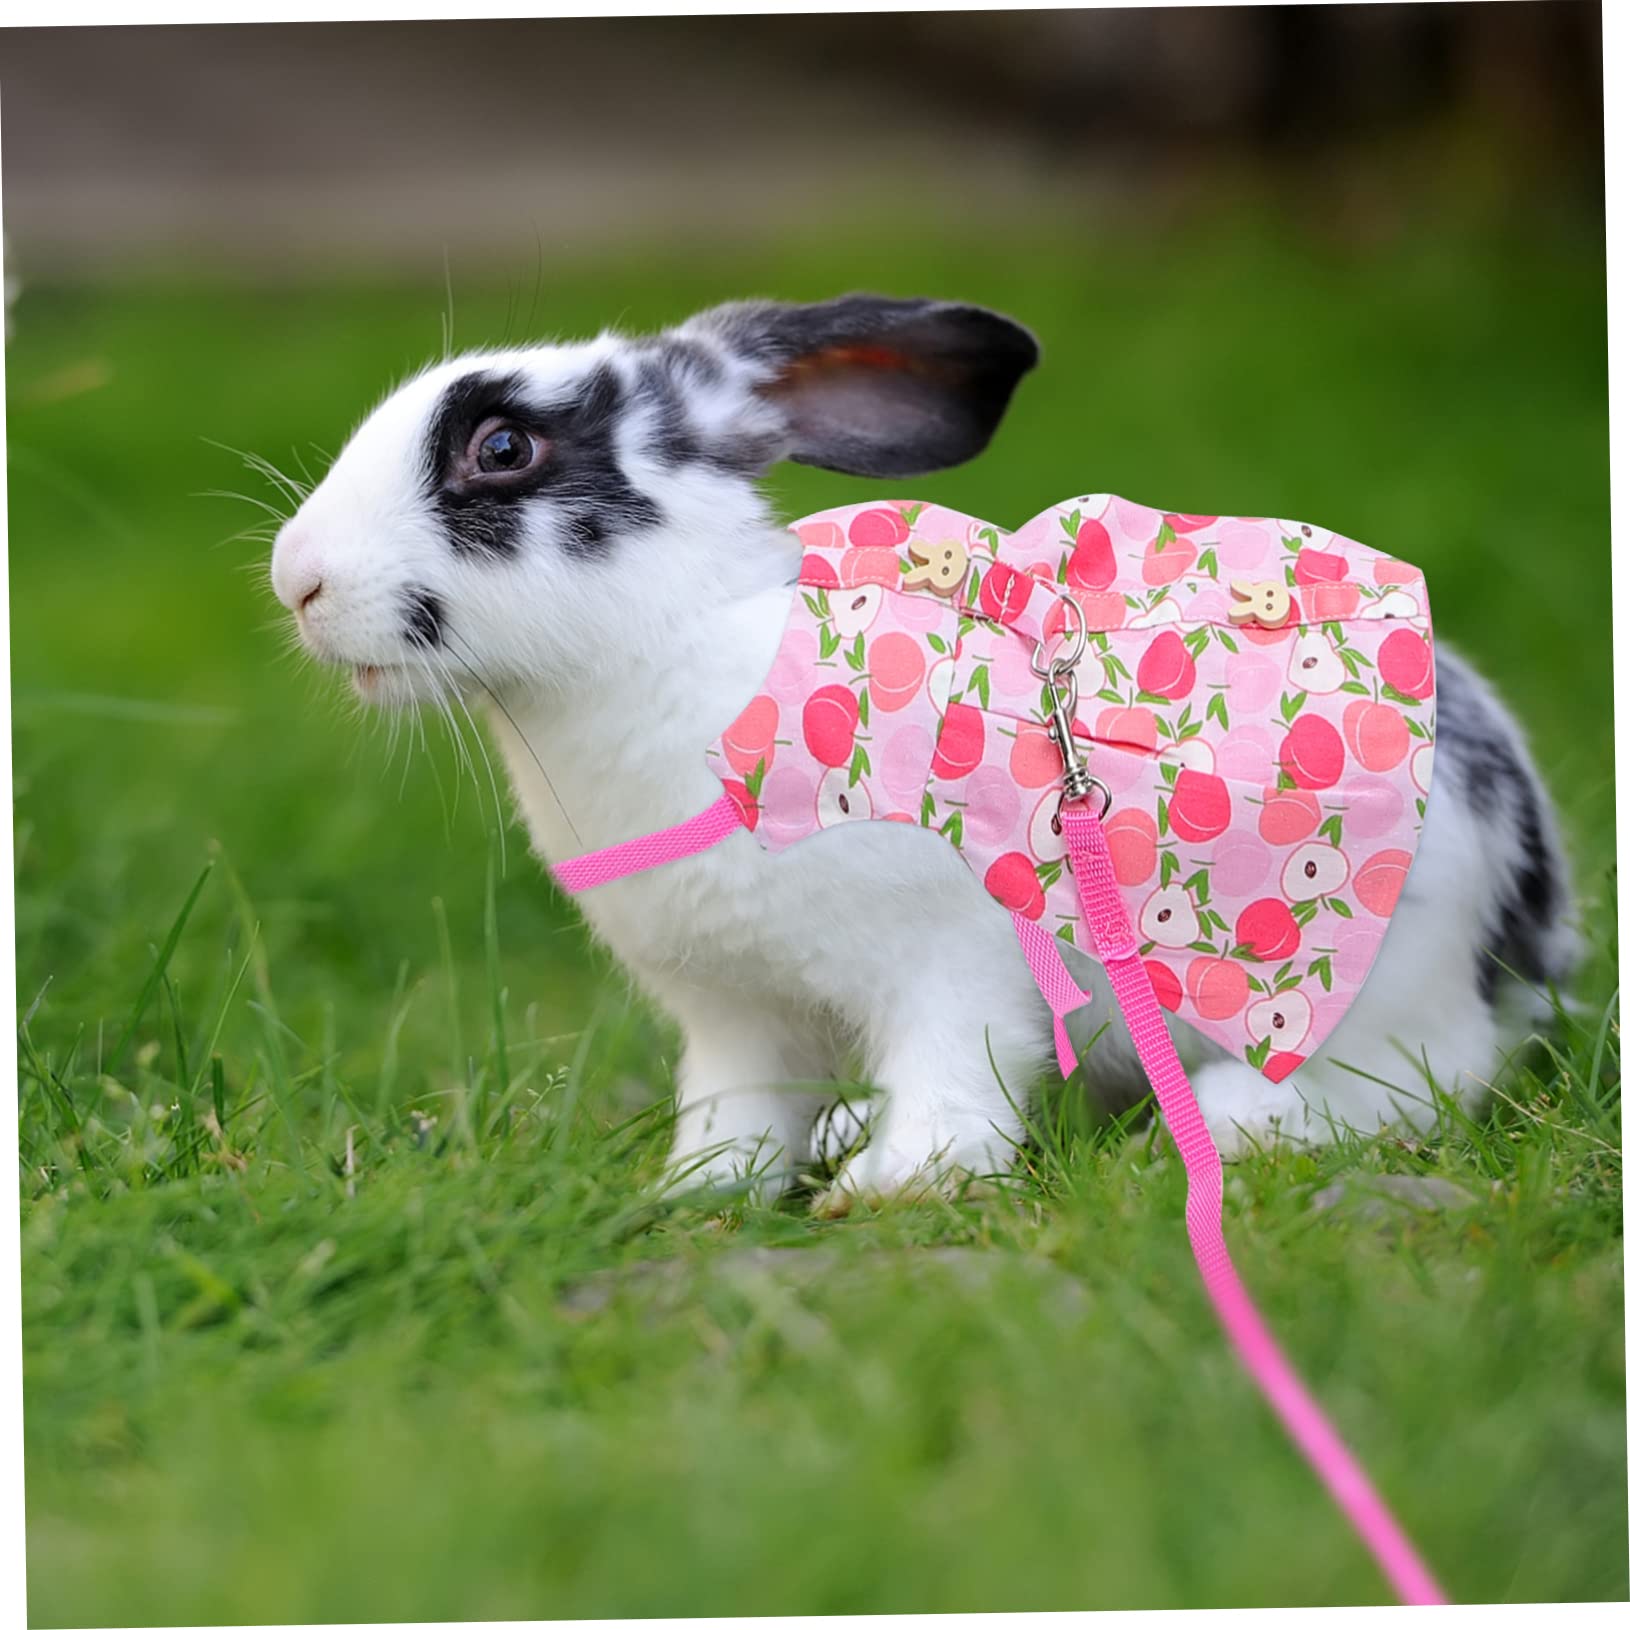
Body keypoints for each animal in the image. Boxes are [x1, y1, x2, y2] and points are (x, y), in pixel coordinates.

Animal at [269, 293, 1576, 1203]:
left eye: (501, 449)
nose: (297, 579)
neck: (687, 649)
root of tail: (1527, 893)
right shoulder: (737, 1021)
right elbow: (733, 1115)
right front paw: (697, 1193)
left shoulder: (958, 961)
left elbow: (959, 1069)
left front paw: (899, 1185)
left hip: (1372, 983)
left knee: (1427, 1075)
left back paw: (1220, 1123)